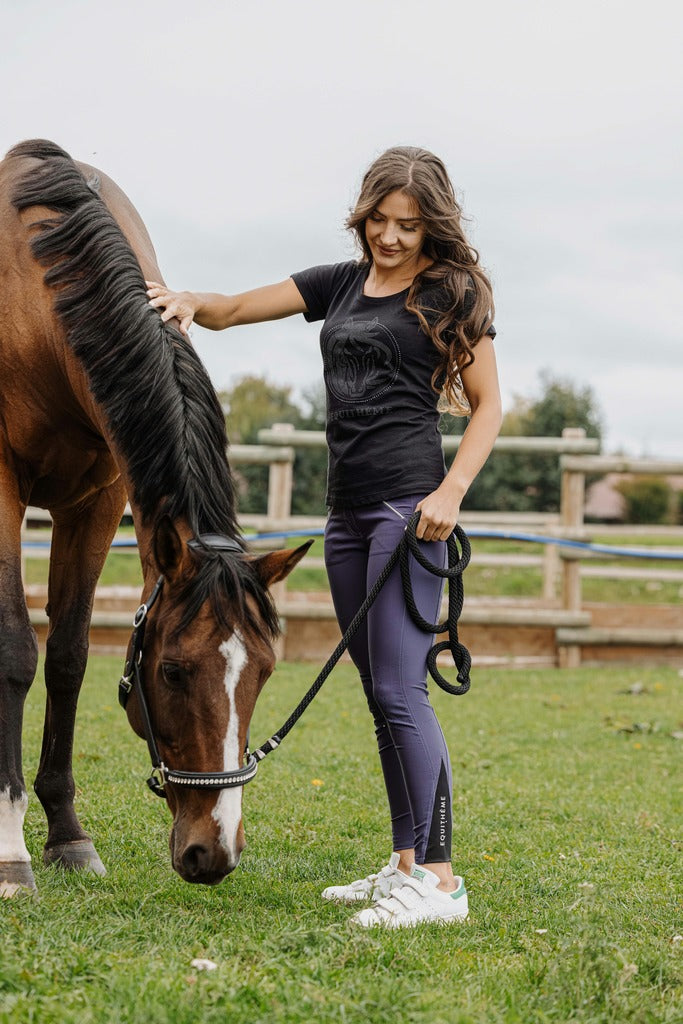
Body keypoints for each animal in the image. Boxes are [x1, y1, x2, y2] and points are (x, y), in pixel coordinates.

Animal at [0, 142, 309, 897]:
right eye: (171, 672)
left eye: (264, 672)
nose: (213, 852)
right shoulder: (1, 483)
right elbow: (17, 651)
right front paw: (12, 849)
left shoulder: (98, 501)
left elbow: (69, 656)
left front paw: (67, 835)